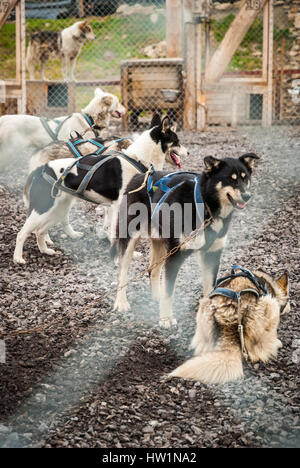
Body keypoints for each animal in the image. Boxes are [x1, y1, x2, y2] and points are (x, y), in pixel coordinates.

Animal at [112, 152, 260, 328]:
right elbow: (169, 291)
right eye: (230, 179)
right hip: (130, 239)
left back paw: (156, 298)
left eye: (245, 178)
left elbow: (210, 288)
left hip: (161, 244)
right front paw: (166, 318)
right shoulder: (175, 256)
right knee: (122, 273)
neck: (205, 206)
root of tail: (142, 175)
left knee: (152, 270)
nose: (247, 196)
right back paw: (121, 302)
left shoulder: (212, 254)